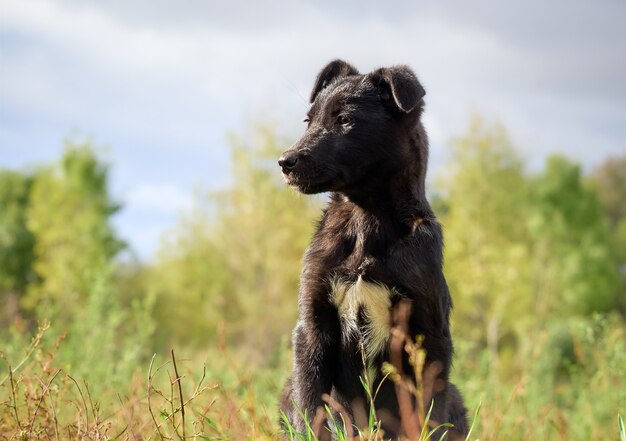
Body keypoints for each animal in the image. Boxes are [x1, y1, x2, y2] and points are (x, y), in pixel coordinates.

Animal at [278, 60, 464, 438]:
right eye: (309, 121)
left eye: (345, 120)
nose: (284, 161)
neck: (366, 218)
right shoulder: (313, 326)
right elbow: (311, 406)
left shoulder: (431, 335)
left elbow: (429, 413)